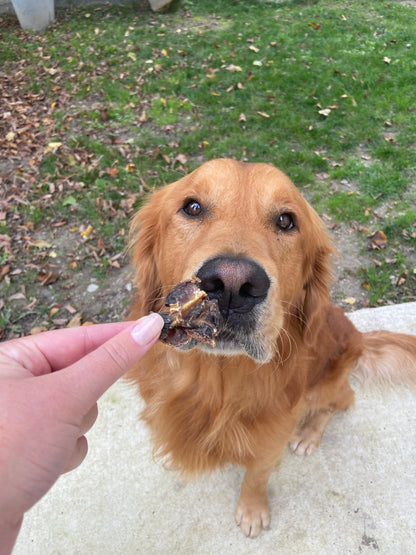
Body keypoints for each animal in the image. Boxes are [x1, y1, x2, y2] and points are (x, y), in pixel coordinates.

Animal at [127, 160, 416, 540]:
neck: (216, 384)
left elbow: (256, 476)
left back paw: (308, 436)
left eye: (286, 221)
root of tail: (359, 336)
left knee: (340, 402)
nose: (232, 284)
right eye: (192, 207)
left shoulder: (271, 440)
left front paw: (252, 511)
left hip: (327, 383)